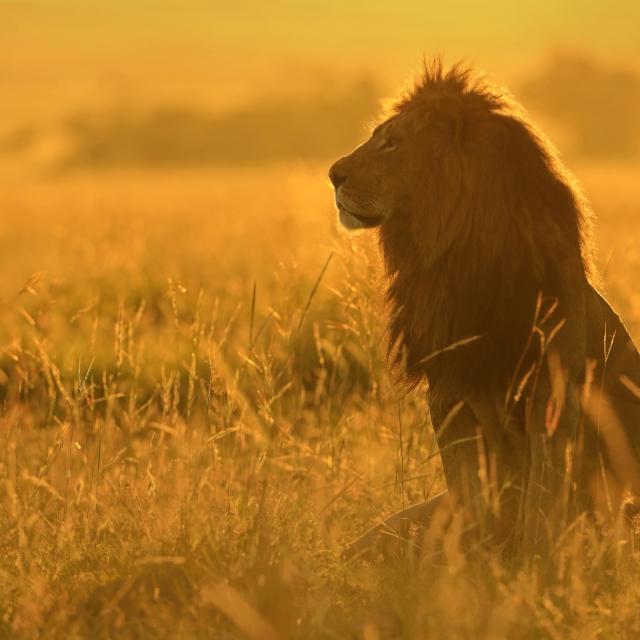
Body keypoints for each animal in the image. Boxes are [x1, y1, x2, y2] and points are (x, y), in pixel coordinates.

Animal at [329, 60, 640, 556]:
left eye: (392, 142)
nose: (332, 175)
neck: (455, 259)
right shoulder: (448, 390)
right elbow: (470, 490)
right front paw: (473, 561)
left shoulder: (552, 389)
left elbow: (543, 492)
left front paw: (535, 559)